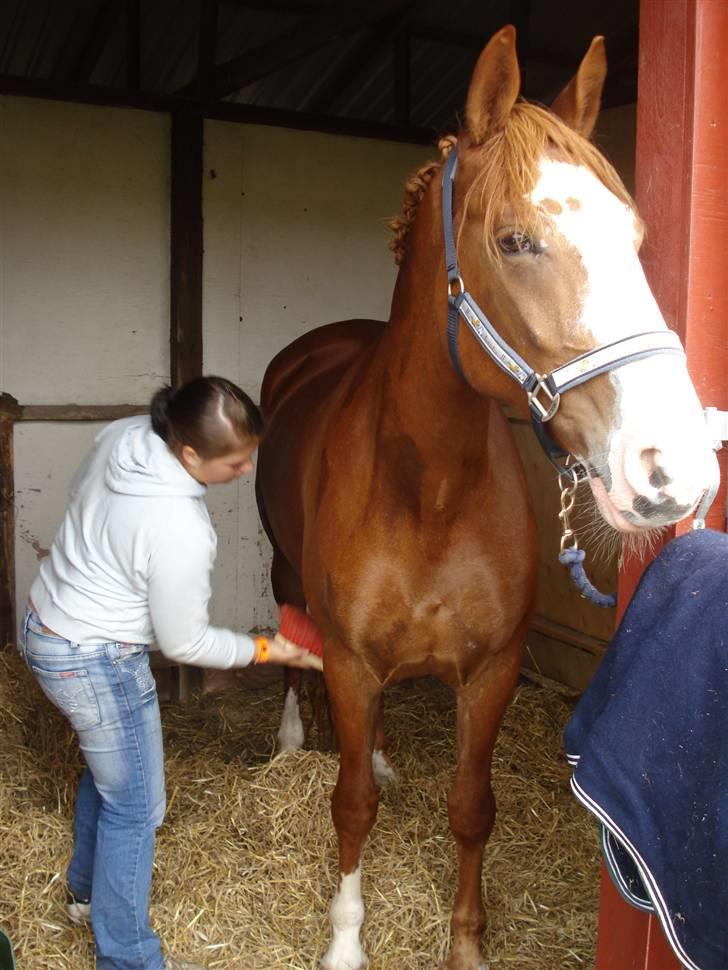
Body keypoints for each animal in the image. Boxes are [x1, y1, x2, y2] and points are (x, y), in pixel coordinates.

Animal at [256, 26, 716, 968]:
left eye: (635, 234)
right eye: (513, 241)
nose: (672, 466)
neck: (430, 490)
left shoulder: (494, 668)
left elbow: (471, 808)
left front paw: (466, 942)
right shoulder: (350, 665)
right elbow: (350, 806)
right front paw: (346, 941)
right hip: (286, 571)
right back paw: (290, 741)